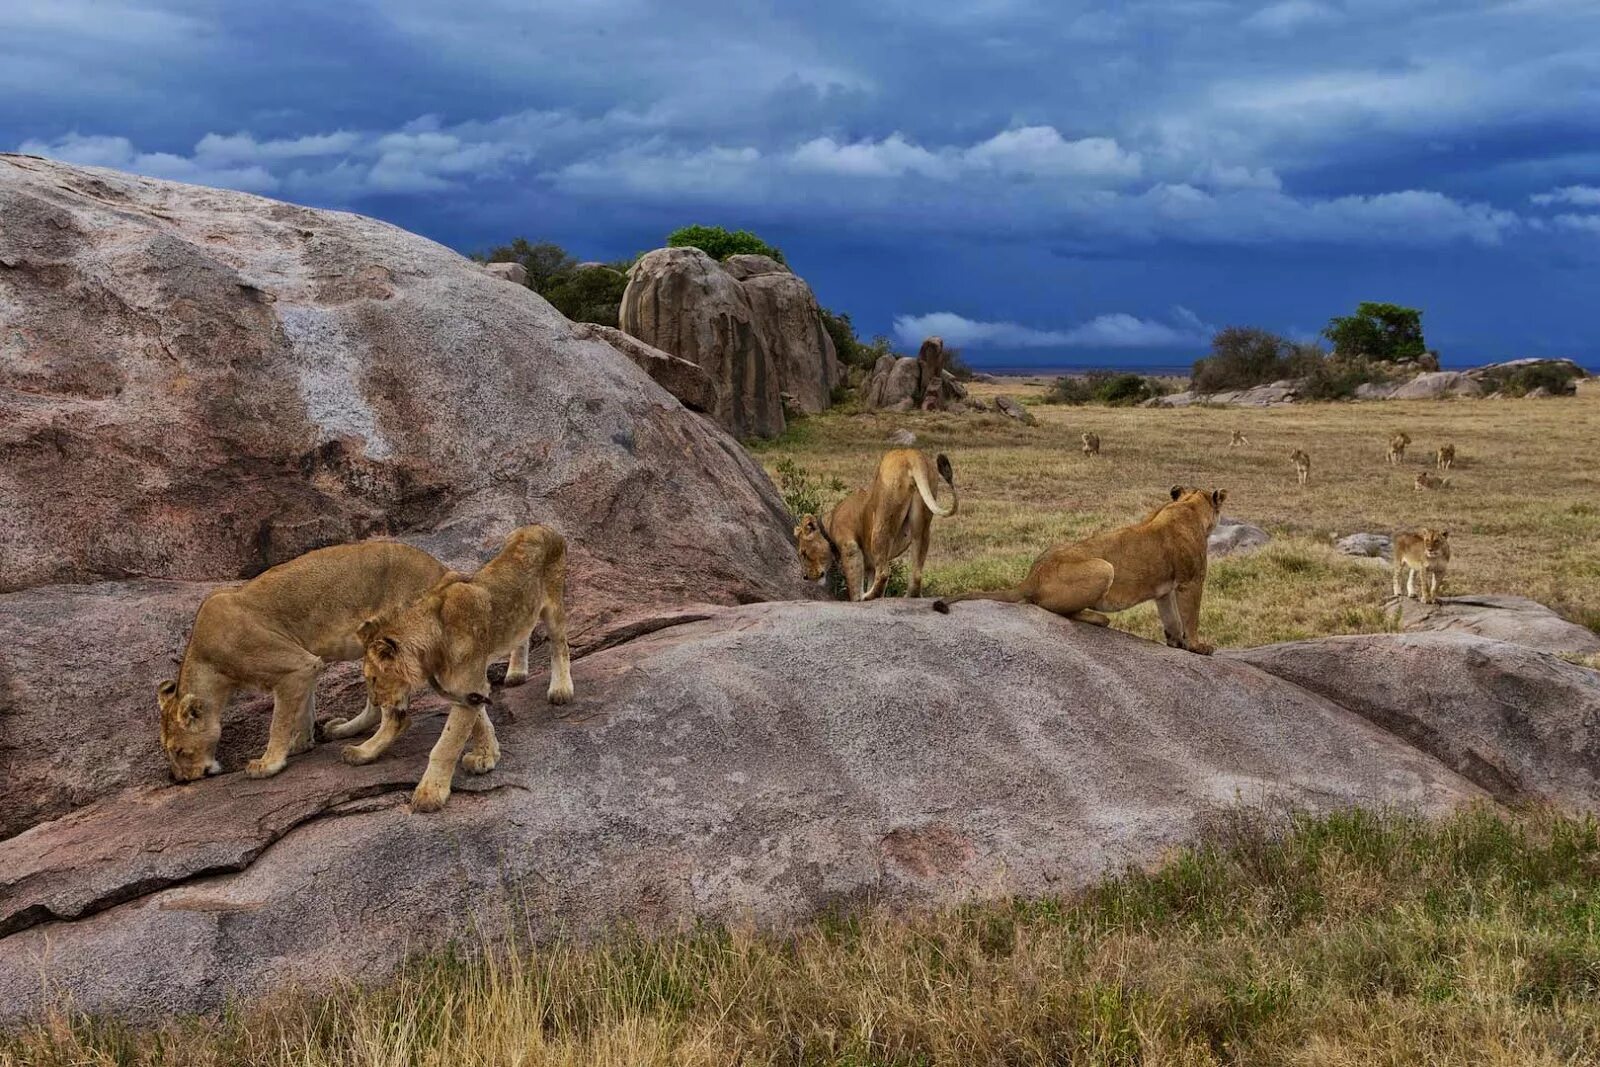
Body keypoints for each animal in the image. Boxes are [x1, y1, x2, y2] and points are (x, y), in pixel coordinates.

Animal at [157, 543, 444, 783]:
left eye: (180, 751)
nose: (181, 780)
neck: (208, 665)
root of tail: (443, 572)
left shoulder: (293, 667)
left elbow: (279, 722)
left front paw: (268, 764)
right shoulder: (307, 667)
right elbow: (303, 709)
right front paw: (301, 744)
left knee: (397, 717)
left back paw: (362, 753)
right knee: (375, 706)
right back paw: (341, 730)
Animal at [352, 524, 576, 809]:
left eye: (373, 678)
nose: (377, 703)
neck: (432, 648)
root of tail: (541, 526)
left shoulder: (470, 684)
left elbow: (447, 744)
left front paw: (430, 793)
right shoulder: (466, 690)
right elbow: (479, 723)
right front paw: (487, 756)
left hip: (554, 602)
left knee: (560, 645)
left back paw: (561, 689)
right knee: (522, 632)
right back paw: (516, 672)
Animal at [793, 447, 953, 601]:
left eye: (804, 553)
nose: (805, 577)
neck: (829, 522)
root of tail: (910, 454)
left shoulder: (850, 547)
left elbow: (854, 583)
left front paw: (857, 599)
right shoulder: (870, 565)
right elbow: (870, 579)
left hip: (881, 523)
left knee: (884, 572)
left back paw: (867, 597)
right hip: (921, 523)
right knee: (916, 572)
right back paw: (908, 595)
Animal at [928, 489, 1222, 655]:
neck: (1187, 505)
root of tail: (1032, 576)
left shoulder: (1166, 589)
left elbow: (1172, 616)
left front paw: (1176, 642)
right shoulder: (1191, 580)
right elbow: (1191, 616)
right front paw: (1197, 646)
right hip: (1104, 567)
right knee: (1053, 608)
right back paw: (1098, 618)